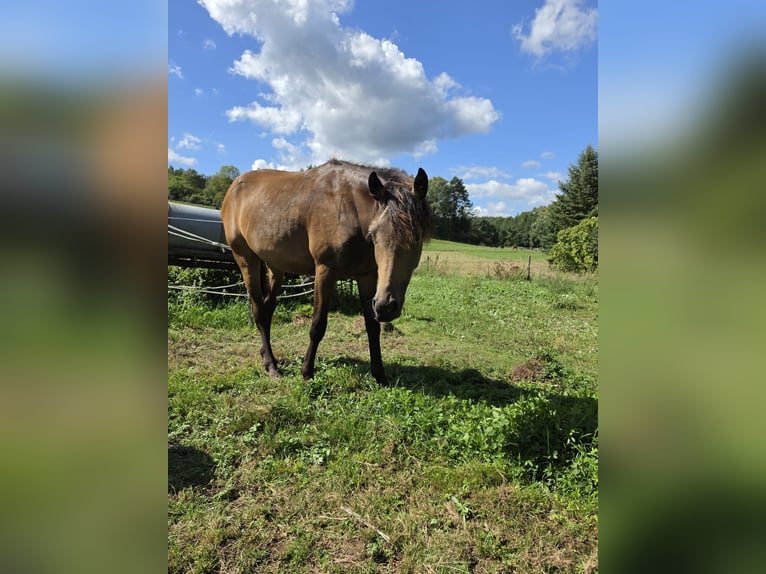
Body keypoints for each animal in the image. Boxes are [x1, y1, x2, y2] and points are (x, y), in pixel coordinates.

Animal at [221, 160, 432, 386]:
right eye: (374, 234)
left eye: (417, 236)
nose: (386, 307)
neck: (350, 208)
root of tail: (233, 188)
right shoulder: (325, 271)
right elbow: (317, 325)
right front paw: (307, 372)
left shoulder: (368, 276)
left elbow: (372, 327)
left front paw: (379, 374)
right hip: (246, 260)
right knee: (259, 312)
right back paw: (271, 366)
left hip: (275, 267)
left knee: (268, 310)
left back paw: (267, 356)